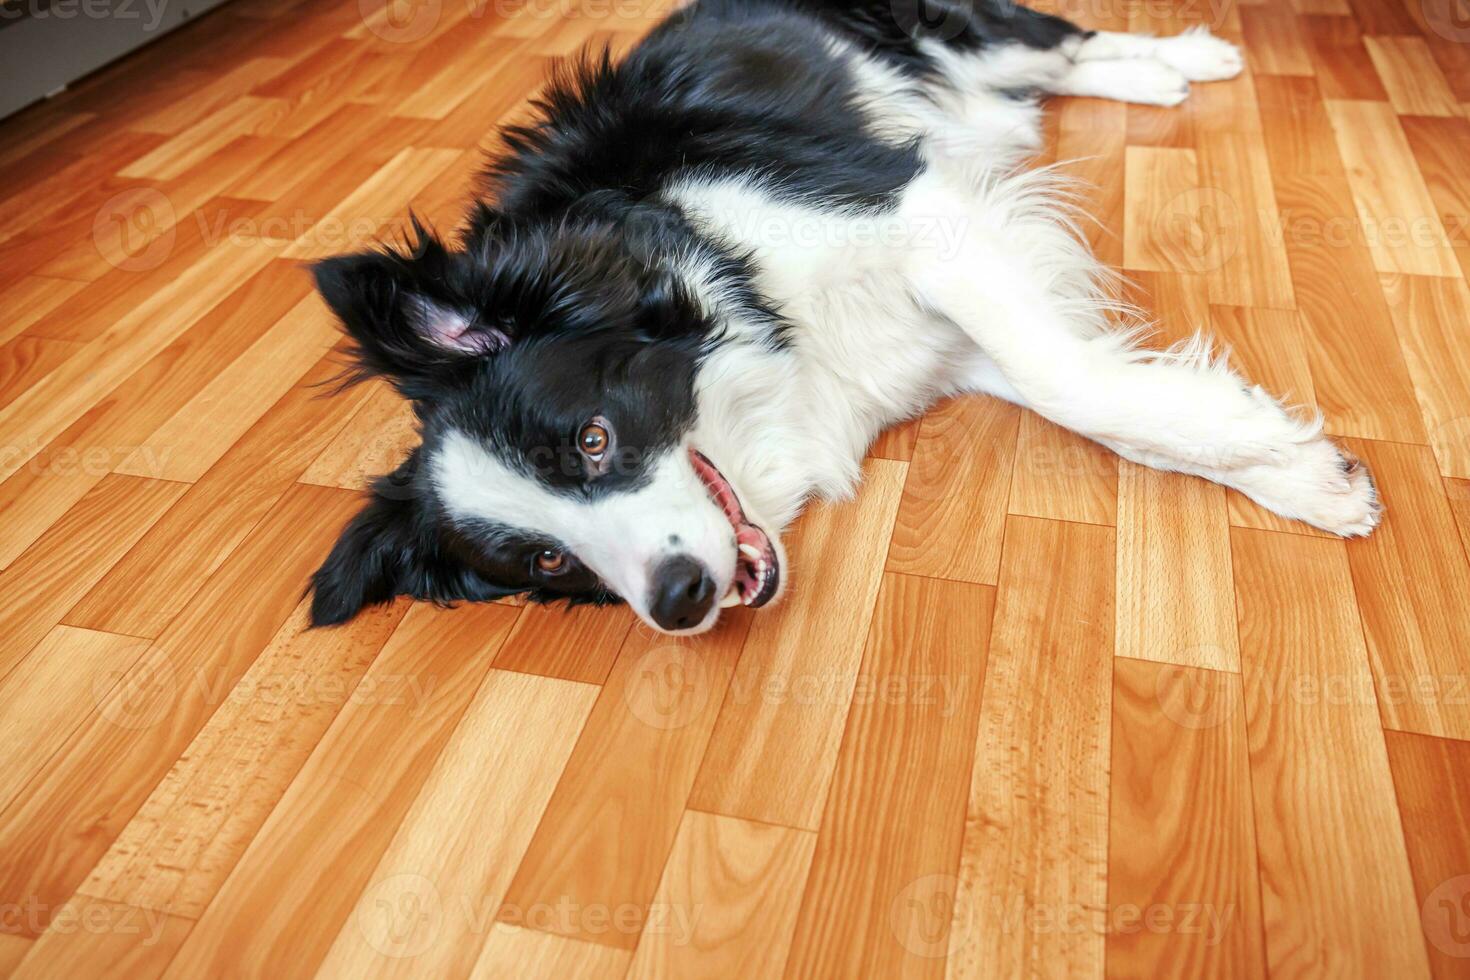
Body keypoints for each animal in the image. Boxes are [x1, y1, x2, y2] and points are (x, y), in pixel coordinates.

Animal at [304, 0, 1381, 637]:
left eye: (593, 439)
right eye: (546, 559)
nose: (678, 601)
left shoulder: (919, 214)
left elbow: (1072, 384)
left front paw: (1270, 454)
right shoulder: (941, 331)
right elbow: (1098, 396)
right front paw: (1303, 474)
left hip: (952, 27)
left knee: (1062, 39)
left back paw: (1187, 56)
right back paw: (1152, 78)